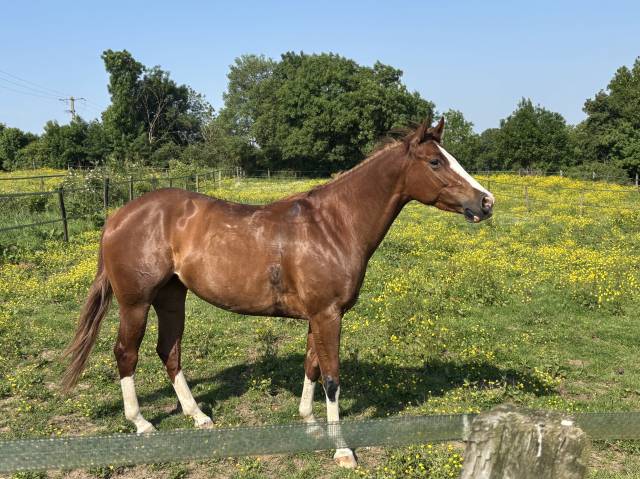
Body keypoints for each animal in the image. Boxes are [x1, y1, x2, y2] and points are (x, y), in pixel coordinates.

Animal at [62, 117, 494, 468]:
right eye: (435, 162)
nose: (486, 202)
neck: (334, 226)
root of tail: (118, 216)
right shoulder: (327, 315)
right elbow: (332, 377)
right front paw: (342, 449)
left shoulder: (321, 316)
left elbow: (312, 367)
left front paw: (310, 423)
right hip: (135, 303)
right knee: (126, 354)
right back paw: (142, 423)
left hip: (172, 297)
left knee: (169, 351)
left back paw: (198, 416)